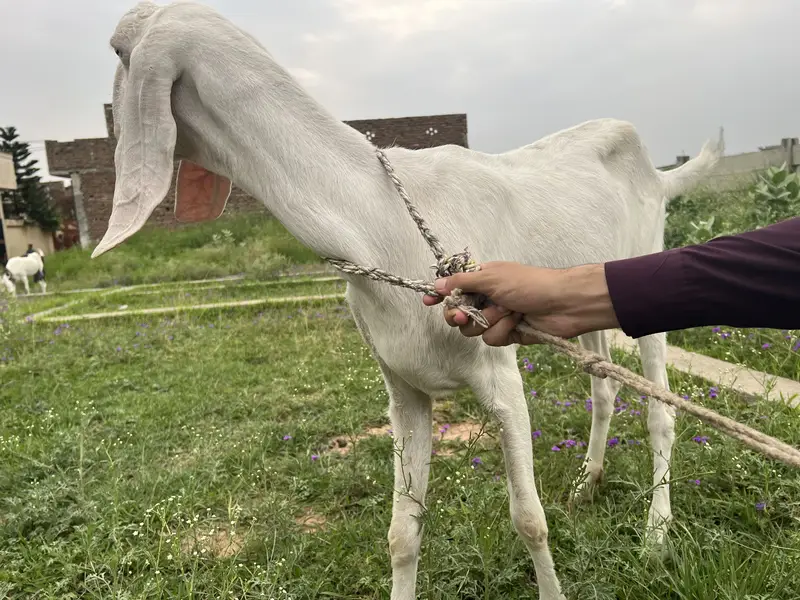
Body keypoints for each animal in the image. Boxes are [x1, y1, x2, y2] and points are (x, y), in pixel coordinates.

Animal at [93, 3, 723, 598]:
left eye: (118, 48)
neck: (376, 219)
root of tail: (658, 174)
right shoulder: (403, 387)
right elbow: (401, 533)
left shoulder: (500, 375)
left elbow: (529, 520)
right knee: (603, 388)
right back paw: (588, 483)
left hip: (645, 276)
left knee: (660, 411)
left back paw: (656, 535)